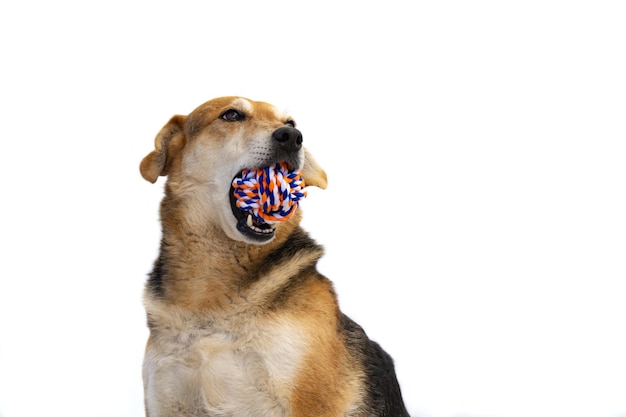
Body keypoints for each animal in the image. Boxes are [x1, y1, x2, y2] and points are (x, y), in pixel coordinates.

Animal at [139, 96, 408, 414]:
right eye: (231, 115)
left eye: (290, 123)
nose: (292, 137)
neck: (210, 307)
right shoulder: (164, 396)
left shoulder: (310, 402)